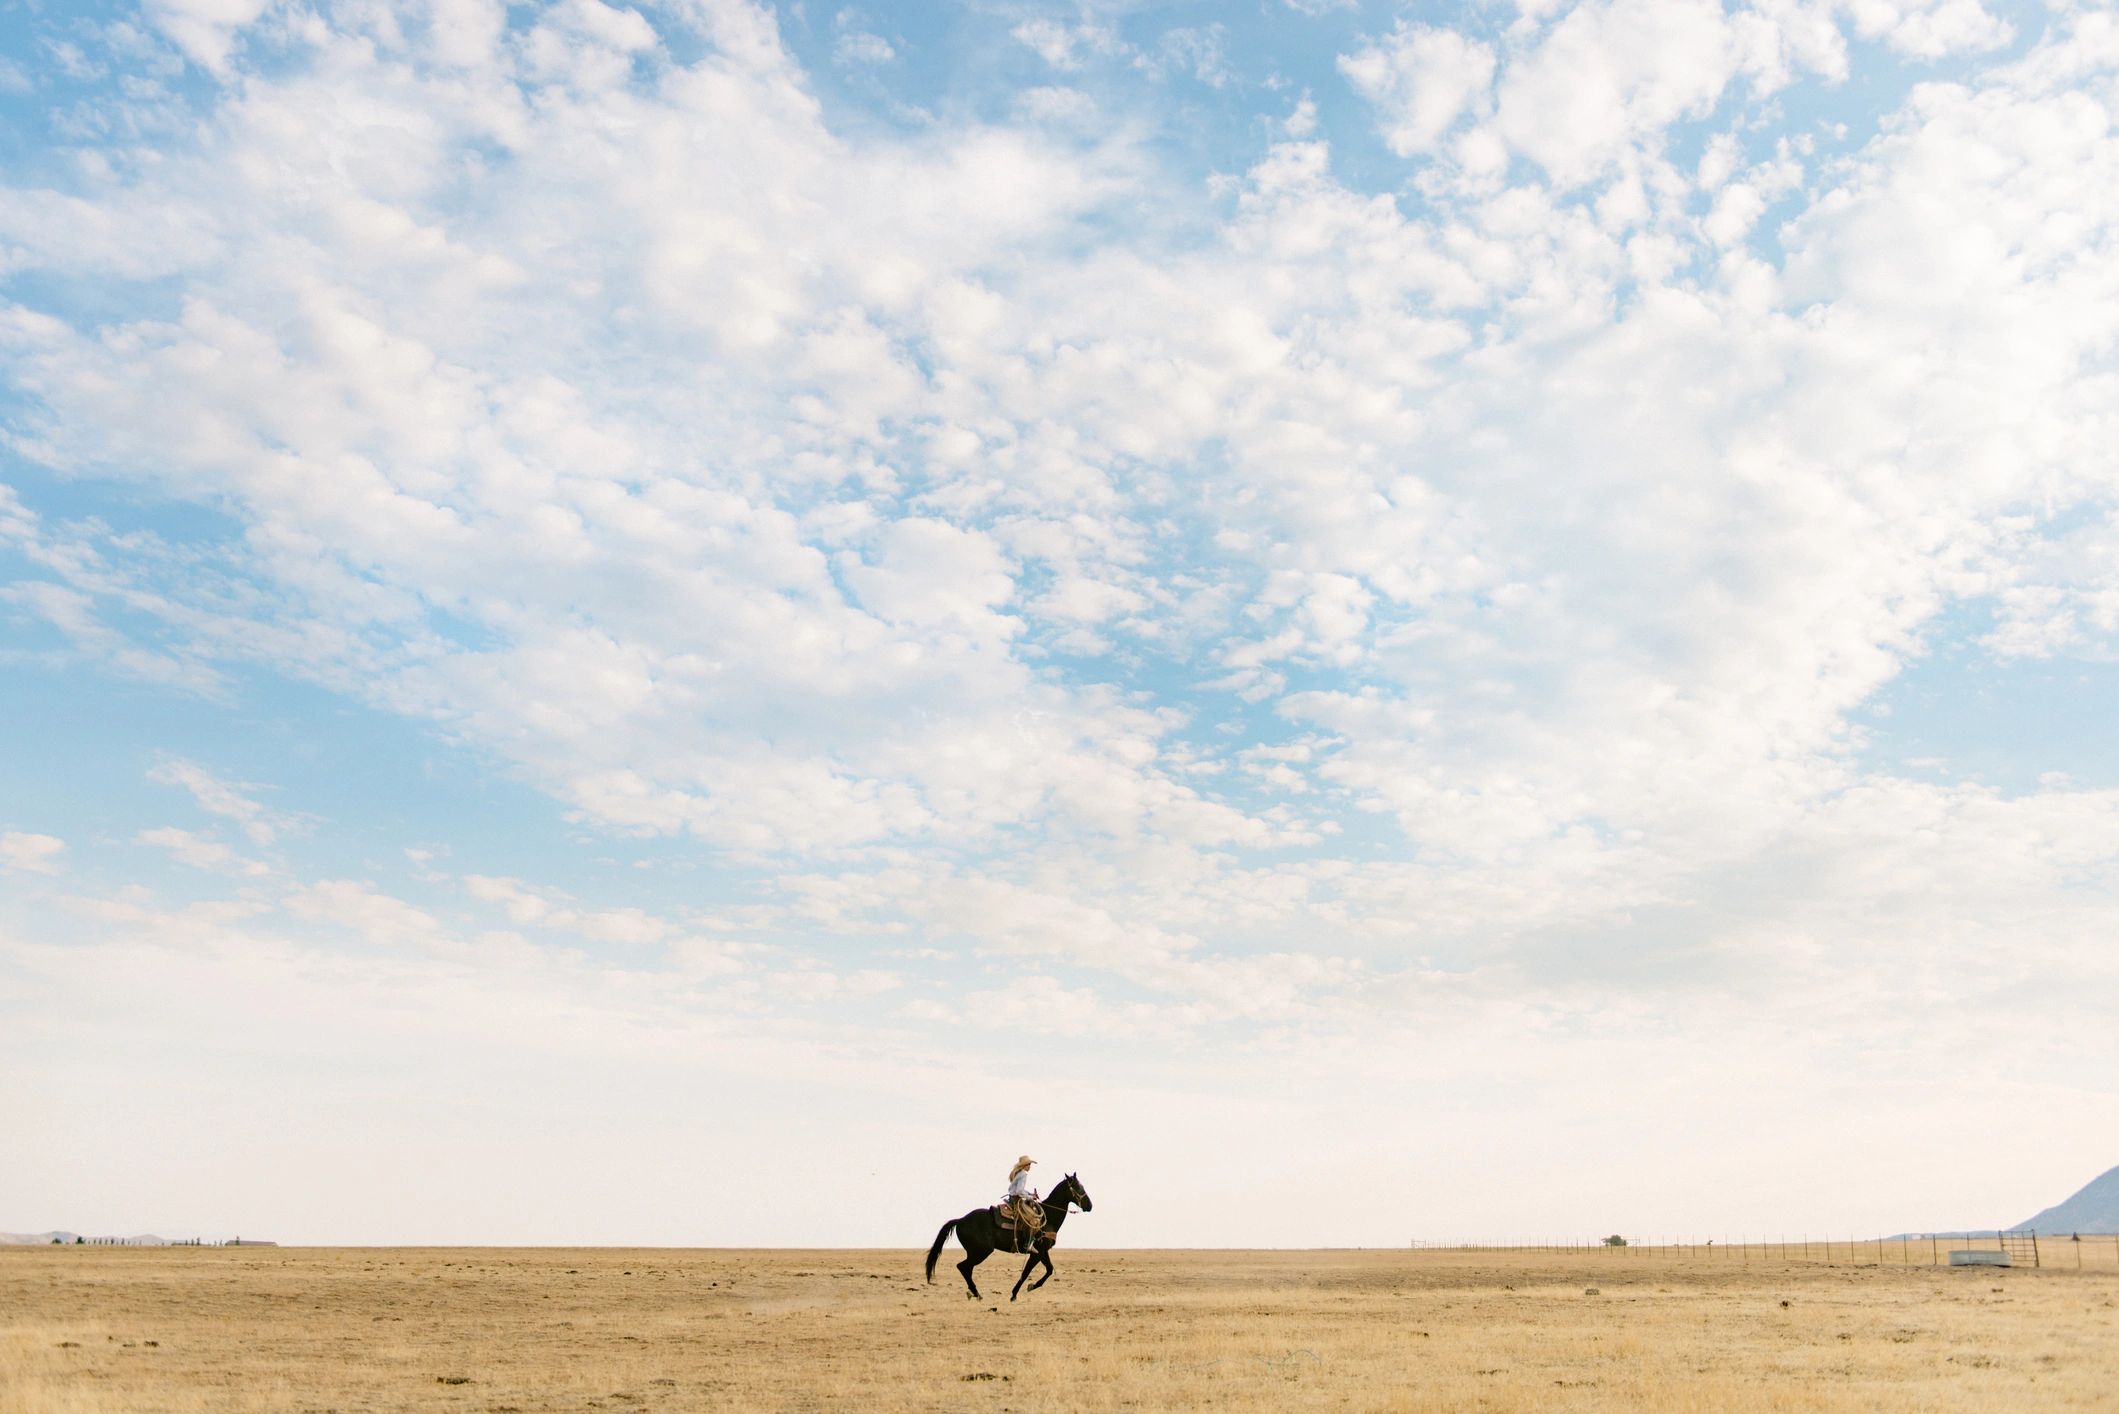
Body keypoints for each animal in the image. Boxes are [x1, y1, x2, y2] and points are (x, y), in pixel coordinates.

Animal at [924, 1172, 1093, 1301]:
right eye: (1078, 1187)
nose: (1089, 1206)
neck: (1048, 1218)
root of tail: (960, 1220)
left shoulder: (1043, 1252)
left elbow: (1049, 1270)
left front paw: (1029, 1287)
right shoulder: (1038, 1252)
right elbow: (1028, 1273)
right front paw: (1017, 1293)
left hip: (975, 1252)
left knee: (967, 1268)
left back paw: (974, 1293)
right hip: (981, 1251)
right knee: (963, 1266)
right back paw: (977, 1294)